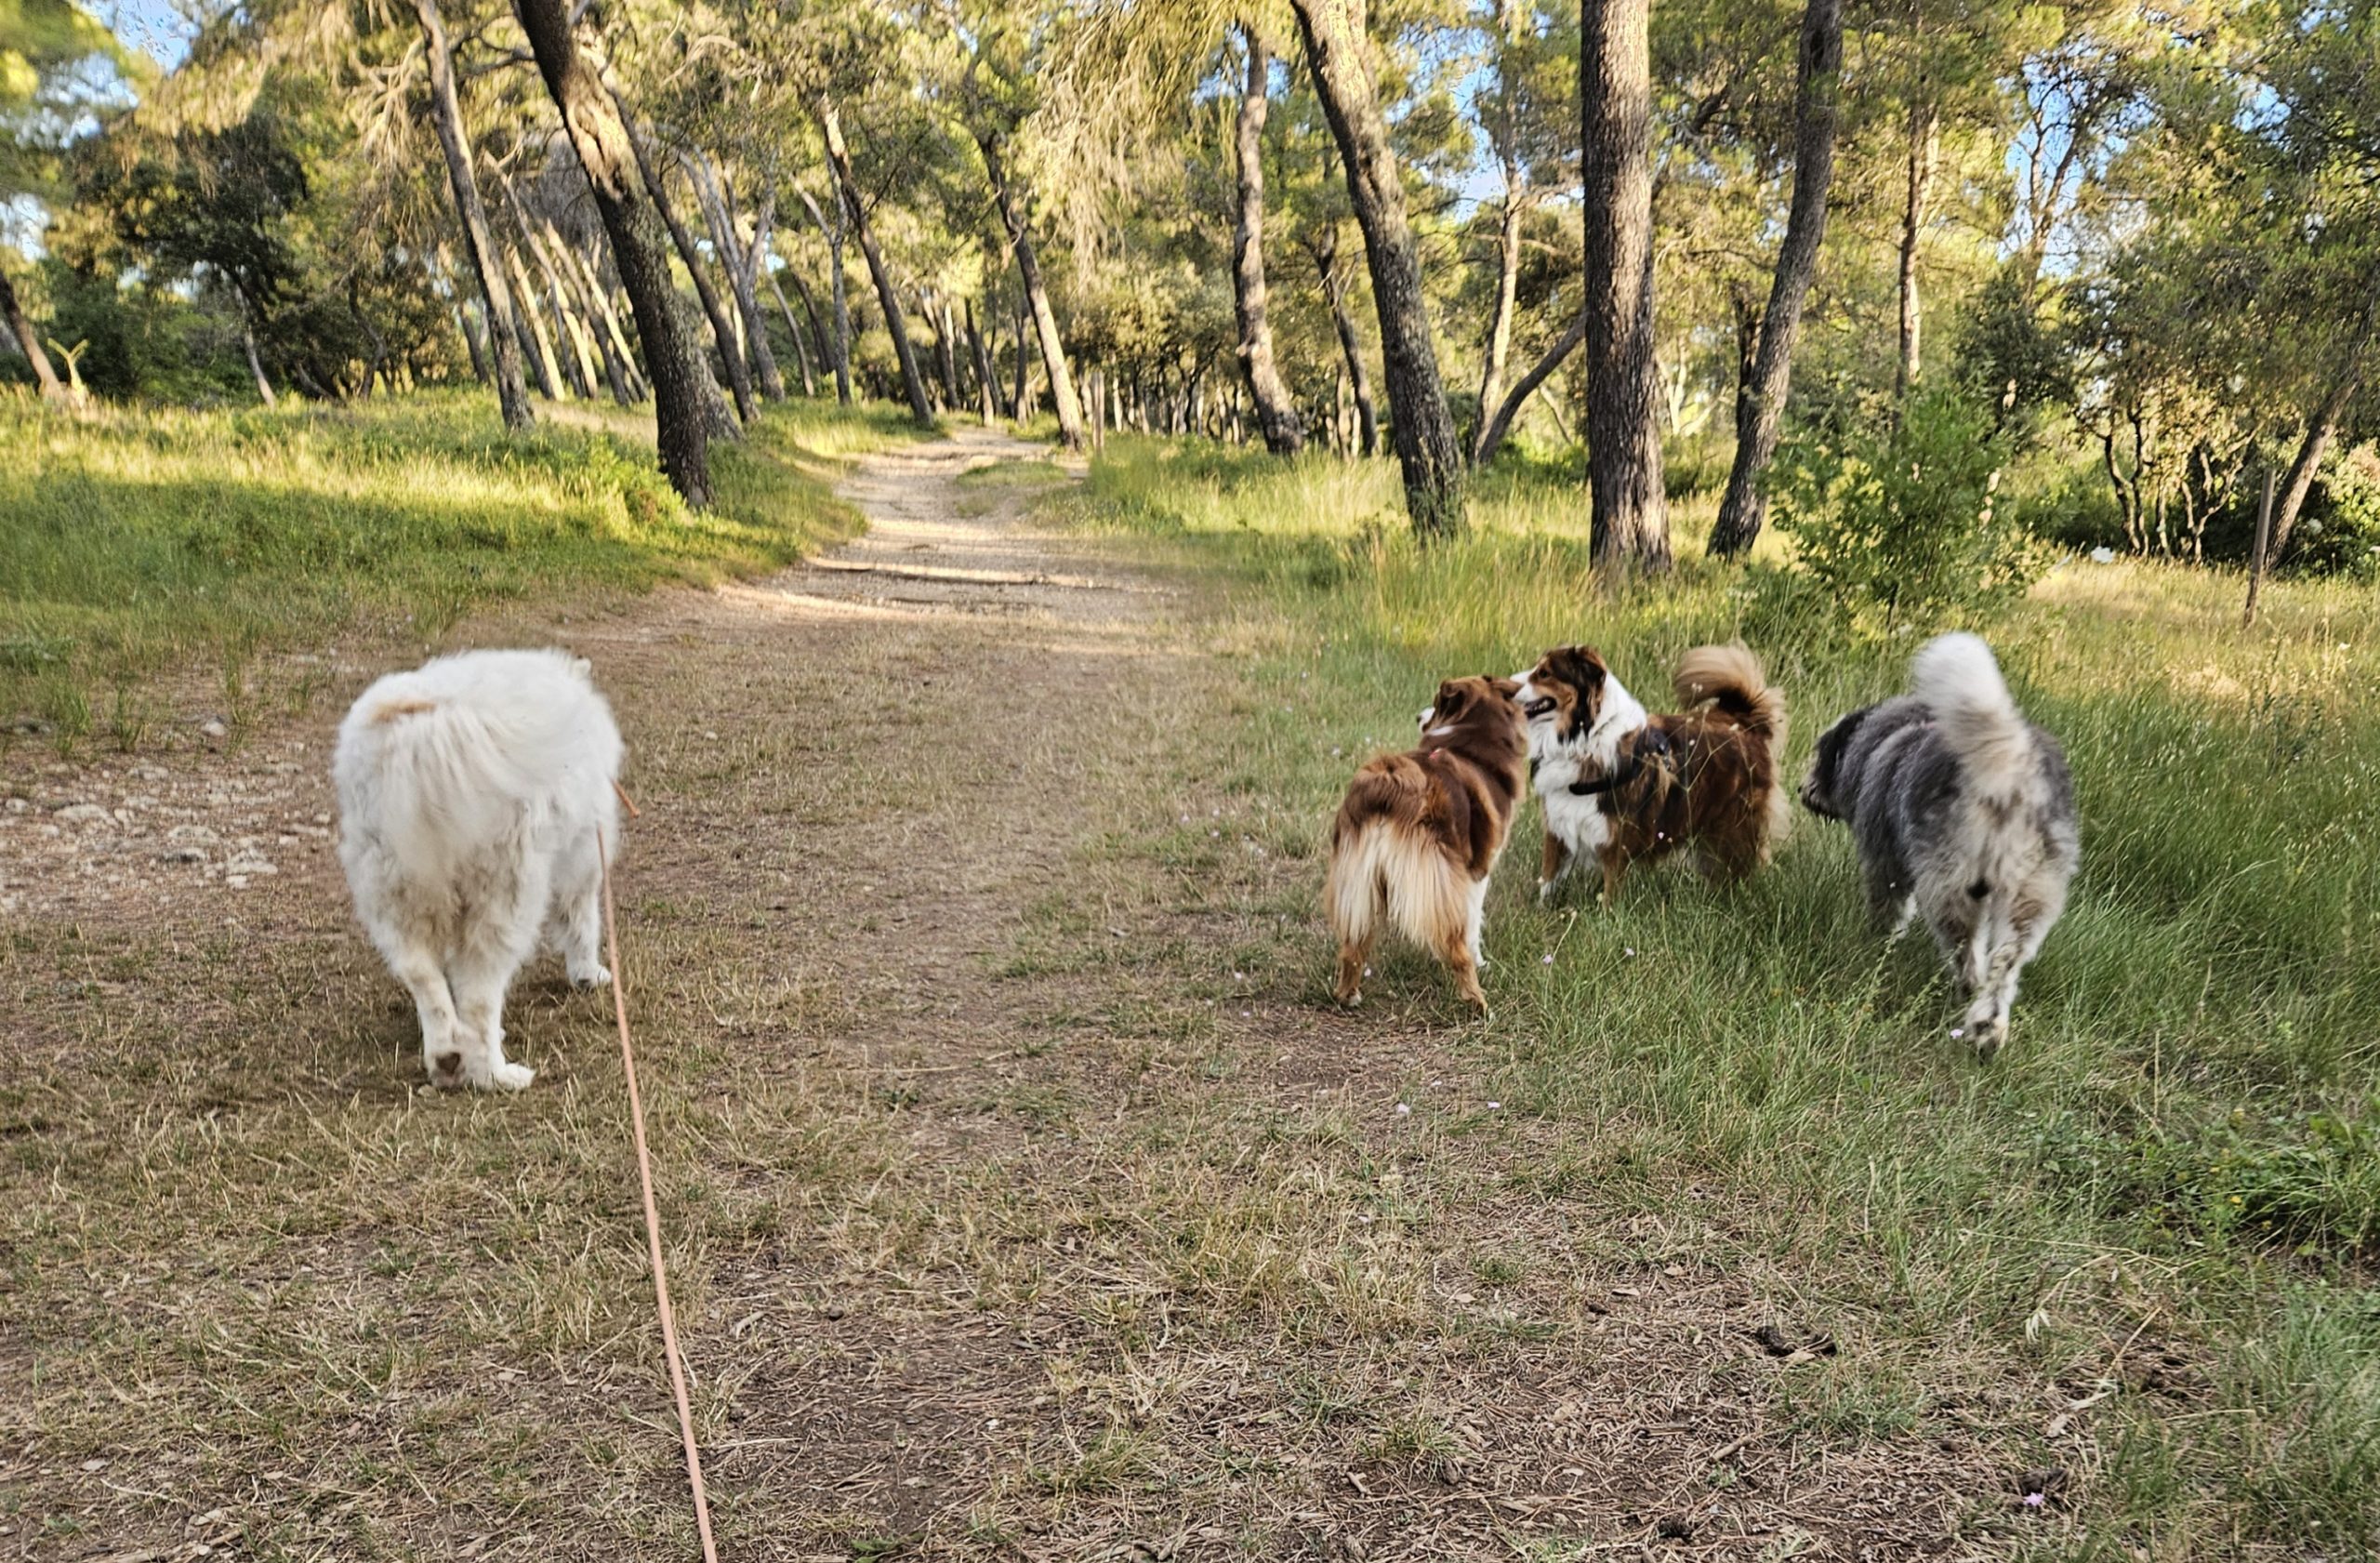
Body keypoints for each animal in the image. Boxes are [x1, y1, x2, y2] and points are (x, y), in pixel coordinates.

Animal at [342, 646, 632, 1084]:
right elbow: (582, 923)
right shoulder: (583, 855)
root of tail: (428, 728)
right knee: (481, 997)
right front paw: (589, 974)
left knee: (424, 978)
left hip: (396, 892)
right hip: (504, 896)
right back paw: (495, 1073)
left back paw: (446, 1057)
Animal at [1323, 675, 1523, 1013]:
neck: (1472, 733)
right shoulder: (1475, 871)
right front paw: (1481, 961)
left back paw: (1348, 995)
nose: (1418, 716)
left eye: (1437, 703)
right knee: (1457, 948)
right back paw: (1478, 1004)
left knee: (1353, 944)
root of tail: (1388, 782)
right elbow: (1473, 923)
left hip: (1361, 881)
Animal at [1523, 637, 1790, 904]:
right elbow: (1547, 881)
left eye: (1544, 673)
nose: (1511, 687)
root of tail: (1740, 719)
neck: (1585, 739)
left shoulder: (1616, 844)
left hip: (1732, 830)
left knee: (1738, 872)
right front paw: (1542, 908)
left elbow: (1609, 894)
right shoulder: (1557, 828)